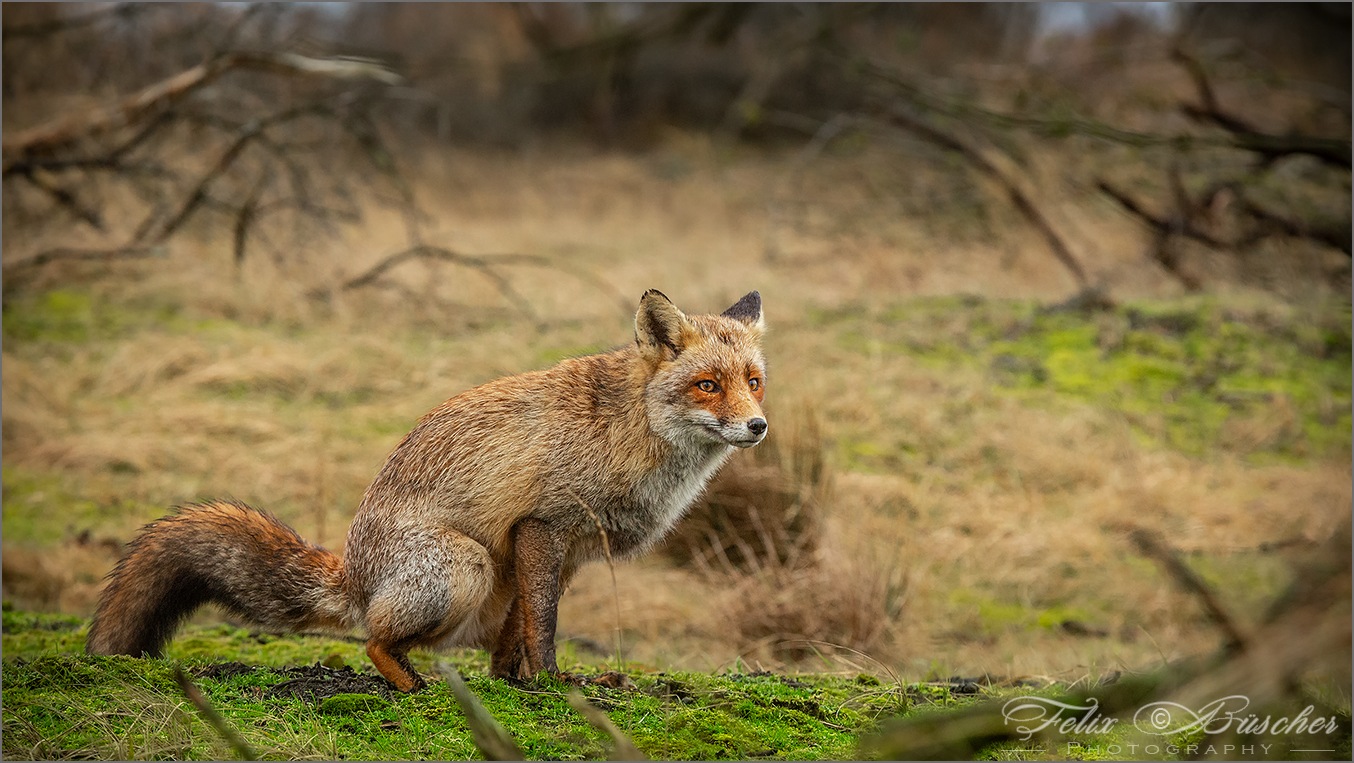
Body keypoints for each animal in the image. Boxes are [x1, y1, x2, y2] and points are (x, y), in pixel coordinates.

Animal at [84, 290, 769, 692]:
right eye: (708, 385)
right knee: (372, 640)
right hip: (466, 566)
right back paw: (414, 687)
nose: (758, 427)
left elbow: (518, 634)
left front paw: (514, 685)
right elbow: (544, 626)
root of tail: (354, 574)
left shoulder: (564, 552)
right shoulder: (541, 527)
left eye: (754, 382)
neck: (631, 430)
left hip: (488, 578)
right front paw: (553, 685)